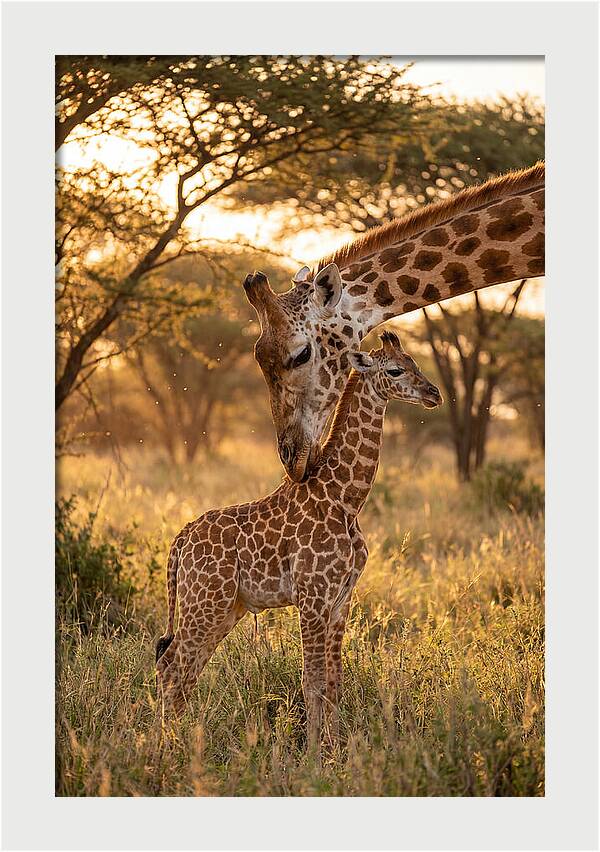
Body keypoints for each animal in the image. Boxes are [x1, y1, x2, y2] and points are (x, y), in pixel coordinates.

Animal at [155, 331, 441, 751]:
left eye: (414, 362)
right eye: (395, 370)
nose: (434, 393)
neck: (345, 498)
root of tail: (179, 542)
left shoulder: (341, 600)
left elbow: (335, 682)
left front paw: (336, 749)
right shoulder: (312, 595)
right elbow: (312, 681)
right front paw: (313, 753)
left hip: (225, 608)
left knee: (185, 668)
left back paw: (181, 741)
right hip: (204, 602)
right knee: (171, 665)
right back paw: (165, 747)